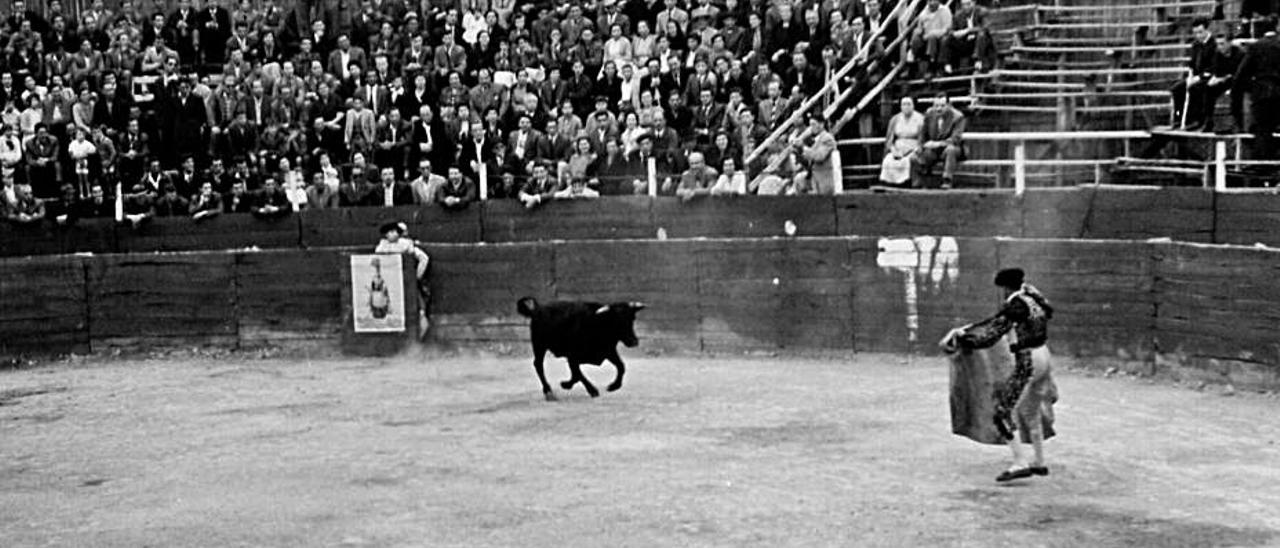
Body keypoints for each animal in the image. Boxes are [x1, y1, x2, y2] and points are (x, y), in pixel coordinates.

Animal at [514, 297, 645, 399]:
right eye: (616, 321)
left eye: (632, 318)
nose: (634, 341)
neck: (597, 324)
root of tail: (536, 309)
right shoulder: (572, 357)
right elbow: (578, 374)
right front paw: (591, 390)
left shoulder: (609, 351)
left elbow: (621, 366)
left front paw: (613, 386)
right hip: (539, 345)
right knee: (538, 365)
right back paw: (548, 392)